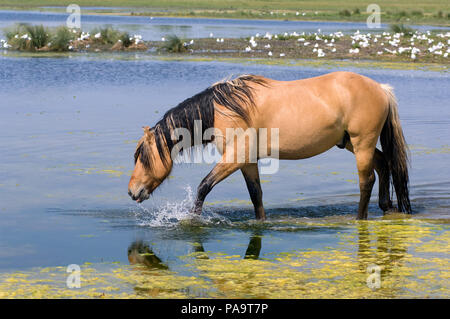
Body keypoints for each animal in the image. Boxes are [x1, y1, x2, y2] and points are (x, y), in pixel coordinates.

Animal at [127, 73, 412, 221]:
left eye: (142, 157)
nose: (132, 191)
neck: (223, 109)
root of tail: (381, 89)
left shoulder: (235, 157)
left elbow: (204, 187)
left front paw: (192, 220)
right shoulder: (247, 161)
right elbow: (256, 195)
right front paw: (260, 224)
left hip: (362, 144)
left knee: (367, 180)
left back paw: (360, 218)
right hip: (352, 143)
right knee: (384, 164)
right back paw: (386, 206)